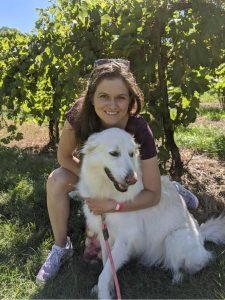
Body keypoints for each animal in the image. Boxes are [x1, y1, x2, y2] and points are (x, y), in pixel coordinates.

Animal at [72, 127, 225, 298]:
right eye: (114, 153)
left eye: (131, 154)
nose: (132, 179)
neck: (107, 193)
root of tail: (201, 236)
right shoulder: (105, 234)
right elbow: (107, 266)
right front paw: (108, 289)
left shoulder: (126, 238)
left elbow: (104, 275)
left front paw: (104, 294)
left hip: (174, 238)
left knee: (188, 267)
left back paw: (177, 280)